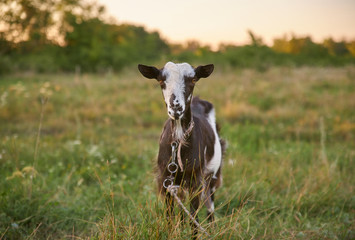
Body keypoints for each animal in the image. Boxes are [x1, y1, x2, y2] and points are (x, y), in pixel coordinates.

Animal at [138, 62, 227, 236]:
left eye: (193, 79)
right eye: (161, 80)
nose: (176, 108)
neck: (178, 142)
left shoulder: (195, 179)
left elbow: (194, 219)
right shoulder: (166, 179)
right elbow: (170, 217)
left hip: (212, 174)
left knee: (210, 206)